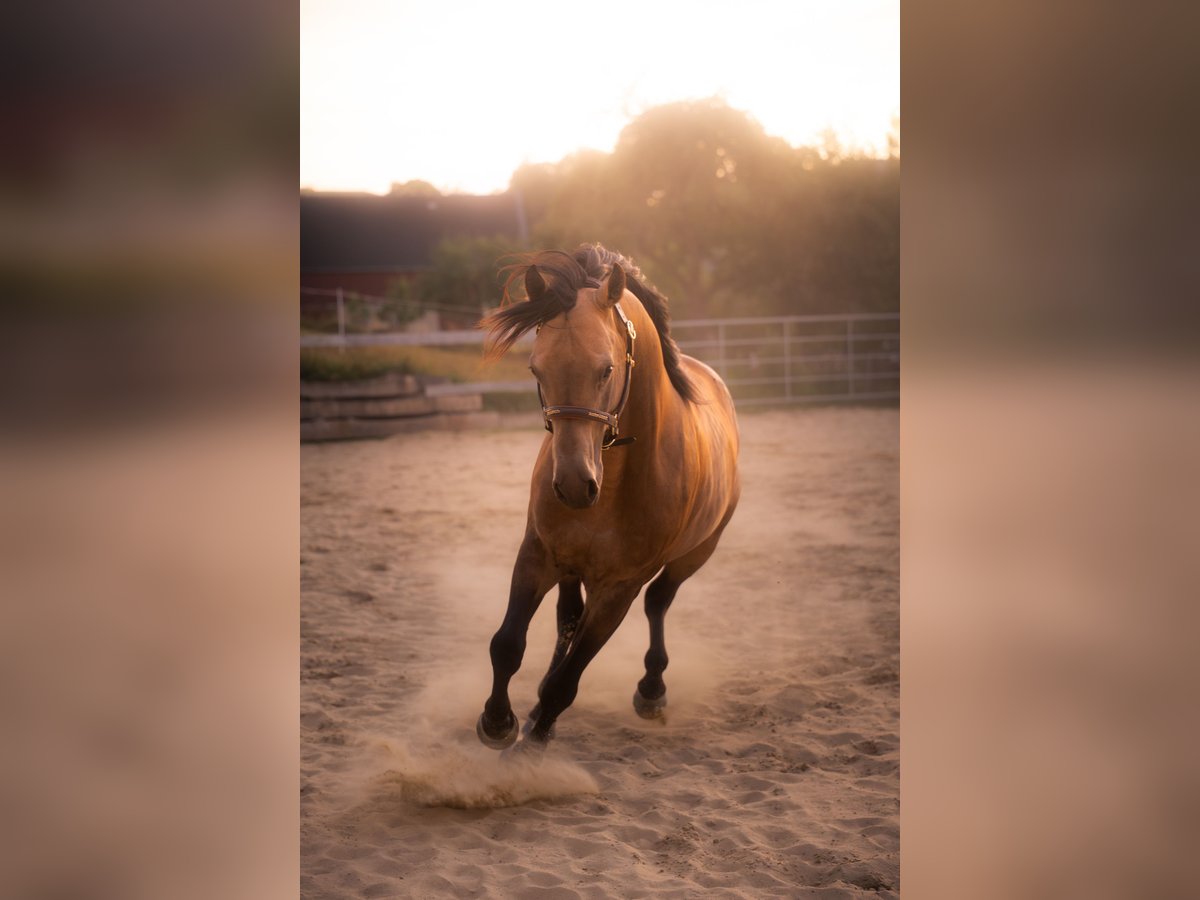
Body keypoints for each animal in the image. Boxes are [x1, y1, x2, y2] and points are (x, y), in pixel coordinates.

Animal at [475, 243, 740, 751]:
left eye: (607, 369)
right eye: (536, 368)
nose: (574, 485)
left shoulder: (619, 587)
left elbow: (569, 679)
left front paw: (535, 740)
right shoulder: (538, 553)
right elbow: (507, 644)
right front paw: (498, 721)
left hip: (696, 552)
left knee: (658, 602)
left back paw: (651, 690)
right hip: (570, 565)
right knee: (568, 616)